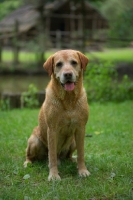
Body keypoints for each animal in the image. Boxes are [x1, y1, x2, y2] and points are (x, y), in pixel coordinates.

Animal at [23, 49, 90, 180]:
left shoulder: (81, 128)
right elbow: (52, 155)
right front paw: (53, 175)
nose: (68, 74)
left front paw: (82, 170)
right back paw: (28, 163)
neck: (68, 99)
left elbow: (81, 154)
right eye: (59, 64)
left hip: (73, 141)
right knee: (31, 155)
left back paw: (72, 160)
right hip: (34, 141)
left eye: (74, 62)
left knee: (68, 155)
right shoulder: (52, 130)